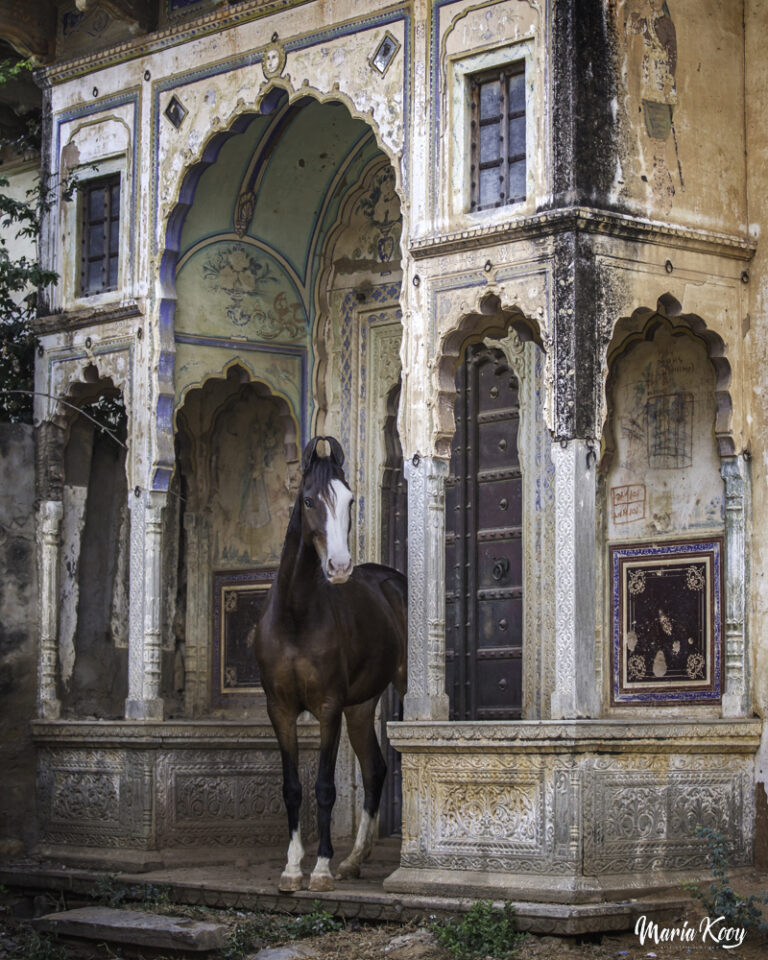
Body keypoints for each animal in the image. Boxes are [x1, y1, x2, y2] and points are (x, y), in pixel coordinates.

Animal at [255, 436, 407, 892]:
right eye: (308, 500)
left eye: (350, 500)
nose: (339, 567)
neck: (295, 616)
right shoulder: (280, 709)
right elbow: (292, 787)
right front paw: (291, 869)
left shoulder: (327, 707)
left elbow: (324, 786)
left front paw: (320, 868)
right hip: (359, 706)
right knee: (375, 770)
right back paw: (355, 859)